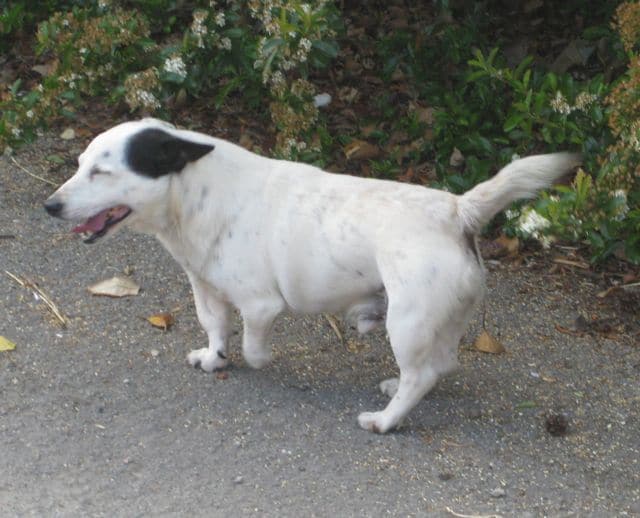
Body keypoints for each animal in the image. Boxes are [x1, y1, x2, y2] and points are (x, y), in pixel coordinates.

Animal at [44, 118, 580, 433]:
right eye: (79, 164)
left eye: (102, 173)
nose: (50, 206)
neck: (195, 193)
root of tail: (456, 210)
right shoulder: (205, 288)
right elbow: (215, 329)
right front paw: (215, 359)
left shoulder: (261, 305)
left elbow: (253, 348)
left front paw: (255, 360)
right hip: (439, 319)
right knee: (438, 365)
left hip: (406, 323)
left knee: (422, 374)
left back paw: (385, 420)